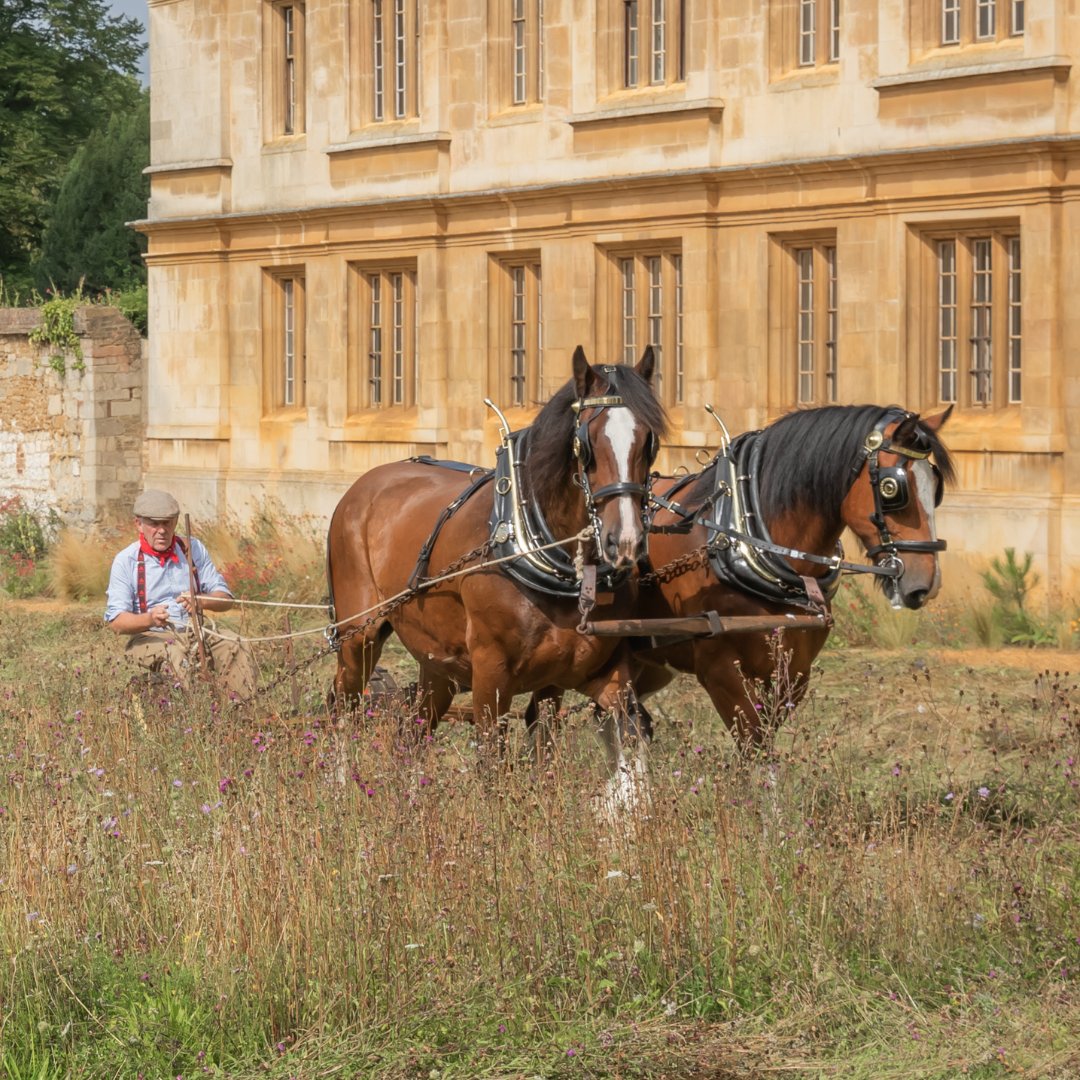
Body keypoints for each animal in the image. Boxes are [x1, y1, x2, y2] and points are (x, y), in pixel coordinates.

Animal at [325, 346, 668, 782]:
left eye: (649, 441)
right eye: (586, 444)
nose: (624, 540)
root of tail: (364, 484)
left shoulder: (590, 676)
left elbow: (611, 748)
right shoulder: (490, 673)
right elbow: (492, 764)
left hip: (438, 663)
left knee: (414, 730)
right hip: (359, 634)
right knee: (344, 703)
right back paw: (339, 784)